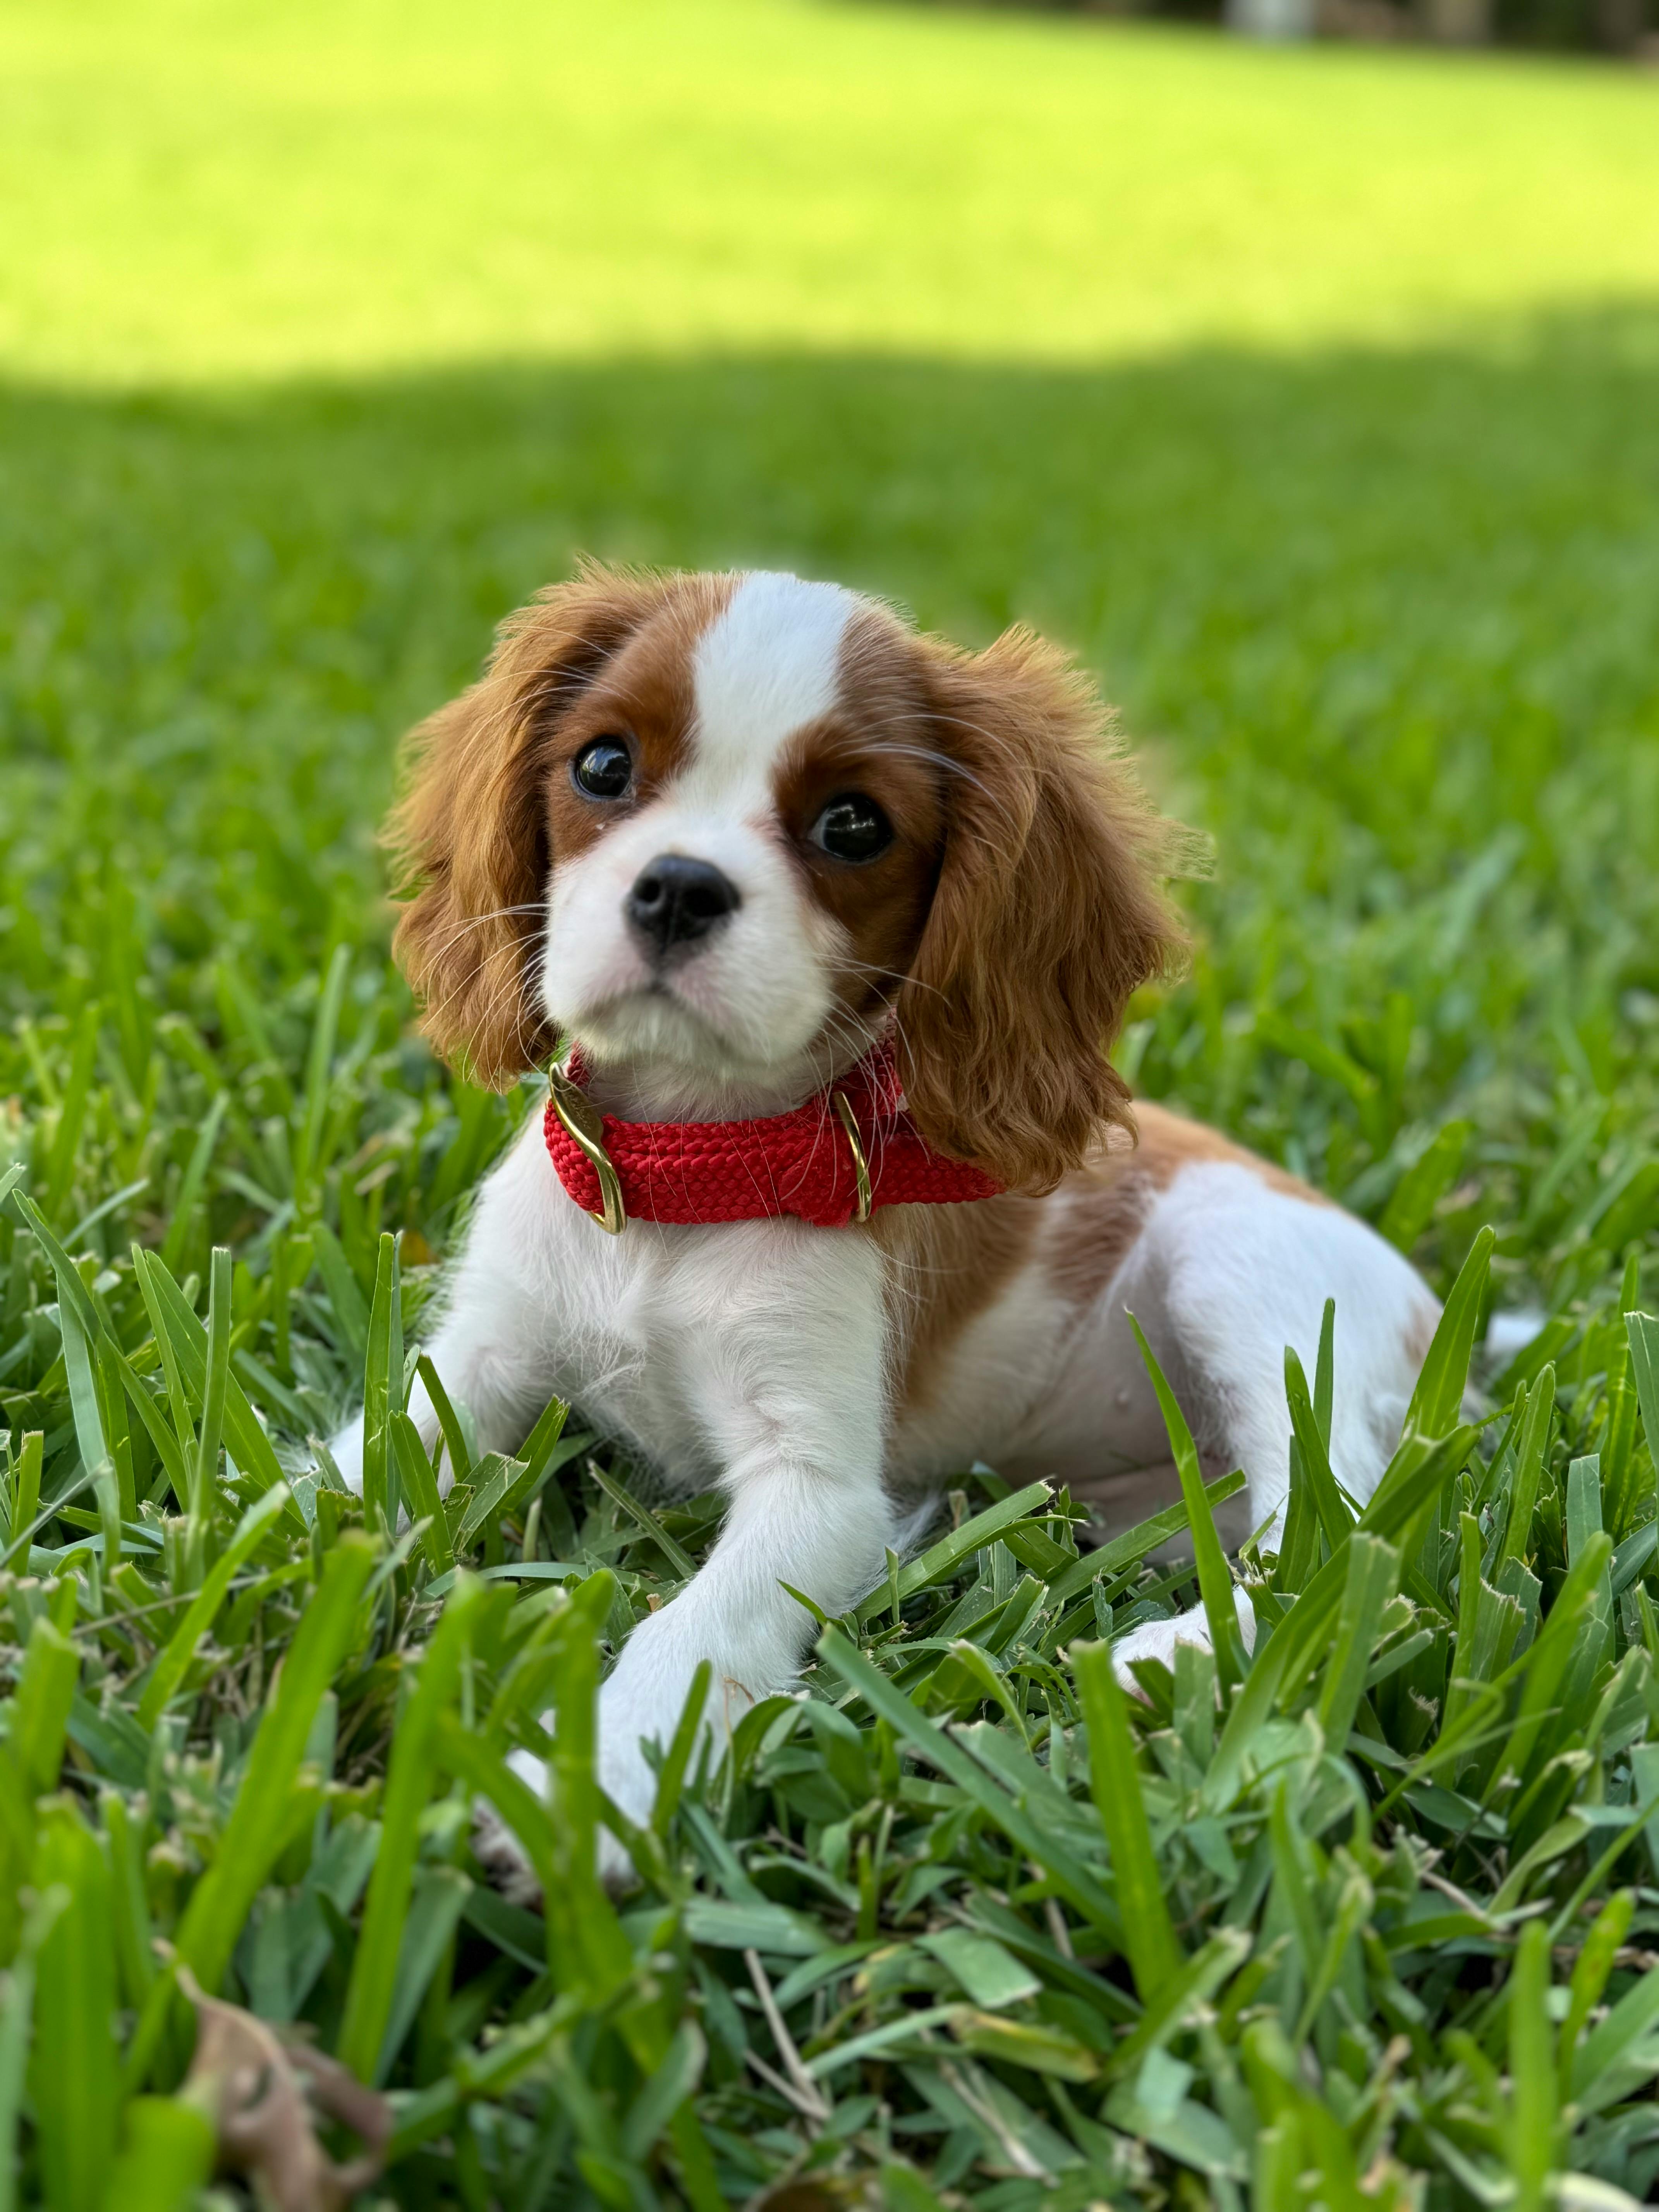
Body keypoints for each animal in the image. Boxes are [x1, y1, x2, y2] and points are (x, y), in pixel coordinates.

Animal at [327, 566, 1442, 1867]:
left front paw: (593, 1782)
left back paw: (1166, 1656)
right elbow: (354, 1467)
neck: (685, 1166)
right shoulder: (482, 1358)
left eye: (853, 827)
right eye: (602, 766)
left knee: (1327, 1529)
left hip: (1245, 1272)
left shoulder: (824, 1491)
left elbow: (693, 1629)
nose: (679, 887)